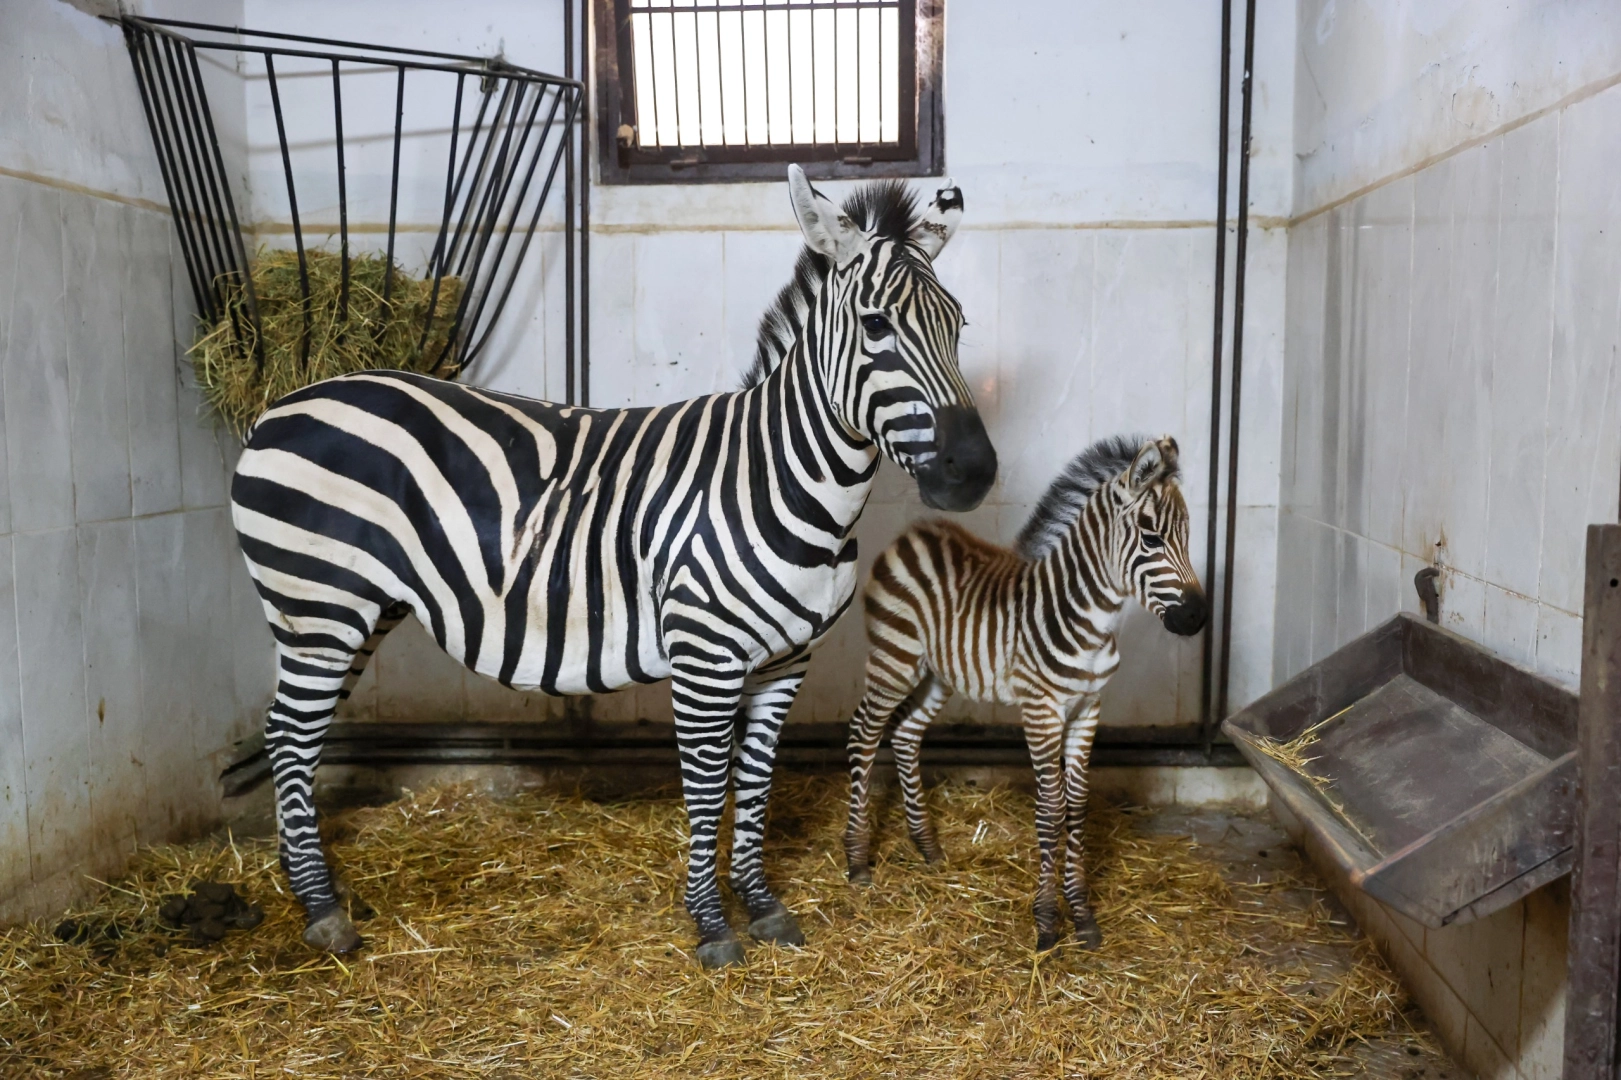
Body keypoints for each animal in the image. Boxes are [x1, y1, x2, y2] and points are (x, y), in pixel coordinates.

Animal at [231, 166, 997, 969]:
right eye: (877, 326)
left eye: (957, 326)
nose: (973, 472)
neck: (783, 477)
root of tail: (283, 401)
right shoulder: (704, 656)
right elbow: (707, 784)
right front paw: (711, 925)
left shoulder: (787, 660)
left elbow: (756, 779)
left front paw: (762, 905)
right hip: (319, 604)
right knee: (291, 736)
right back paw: (322, 910)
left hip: (355, 610)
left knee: (291, 733)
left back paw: (301, 878)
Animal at [842, 435, 1205, 951]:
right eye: (1152, 538)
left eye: (1187, 537)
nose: (1197, 618)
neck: (1089, 619)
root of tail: (913, 532)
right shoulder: (1041, 709)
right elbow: (1051, 809)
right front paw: (1048, 920)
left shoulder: (1088, 707)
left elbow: (1077, 805)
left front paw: (1082, 915)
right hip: (895, 659)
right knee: (864, 734)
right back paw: (857, 860)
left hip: (939, 674)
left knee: (906, 735)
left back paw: (927, 847)